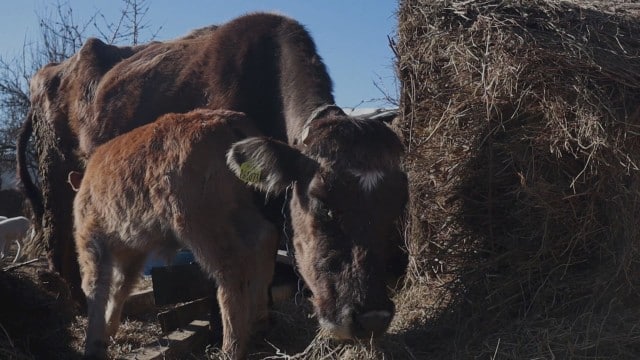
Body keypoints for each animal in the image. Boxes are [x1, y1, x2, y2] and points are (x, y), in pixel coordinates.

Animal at [73, 109, 278, 360]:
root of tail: (227, 120)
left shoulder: (92, 241)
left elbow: (96, 287)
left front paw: (93, 343)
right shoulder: (134, 252)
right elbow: (121, 287)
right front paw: (109, 330)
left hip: (197, 222)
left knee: (231, 267)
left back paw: (230, 347)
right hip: (237, 209)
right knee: (265, 236)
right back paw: (259, 323)